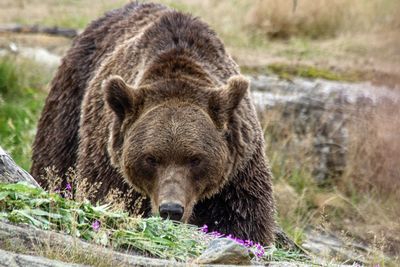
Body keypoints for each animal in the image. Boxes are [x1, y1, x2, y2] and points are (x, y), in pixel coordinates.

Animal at [31, 1, 276, 245]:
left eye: (196, 159)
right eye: (151, 158)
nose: (171, 210)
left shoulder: (238, 173)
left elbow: (243, 221)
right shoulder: (109, 164)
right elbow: (105, 196)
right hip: (70, 103)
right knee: (55, 162)